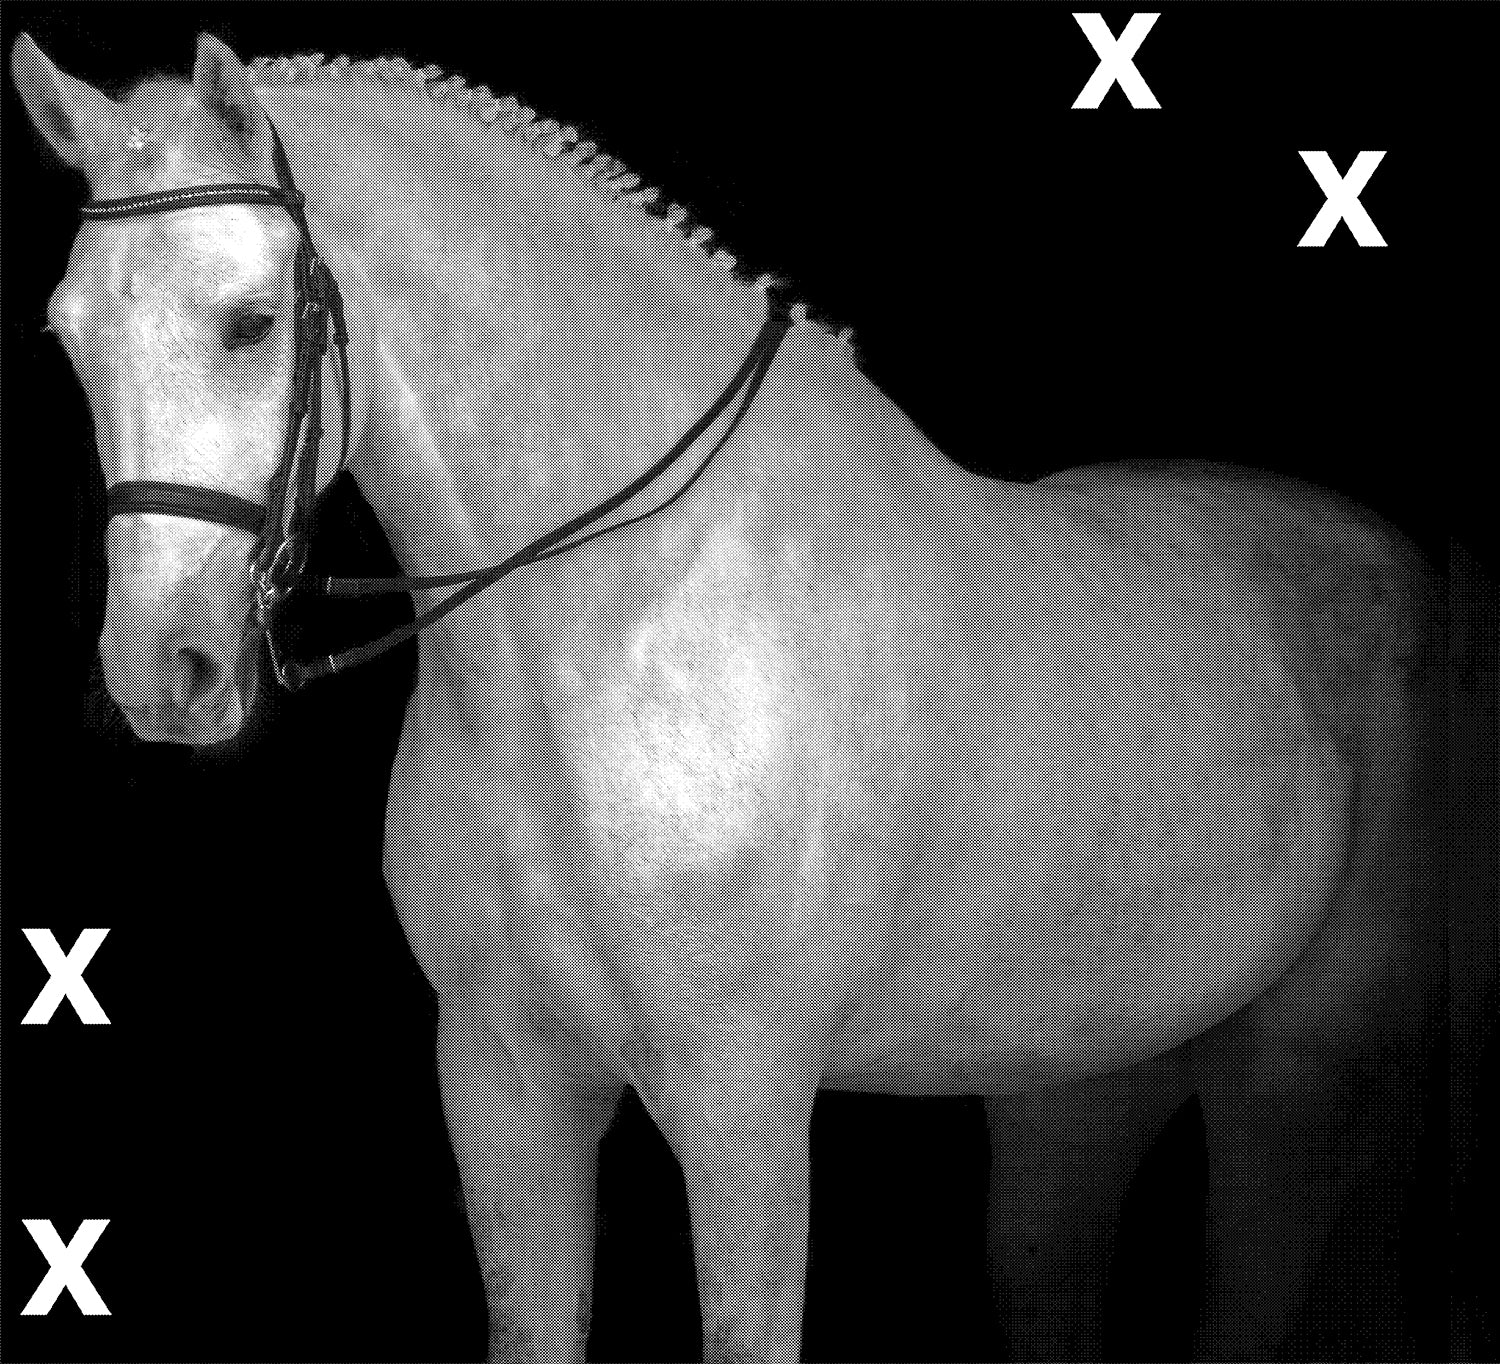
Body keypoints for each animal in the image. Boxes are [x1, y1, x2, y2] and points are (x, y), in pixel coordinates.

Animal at [12, 32, 1443, 1363]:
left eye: (251, 321)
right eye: (70, 335)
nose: (163, 668)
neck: (614, 627)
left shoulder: (740, 1097)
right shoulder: (502, 1082)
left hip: (1295, 1080)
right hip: (1078, 1086)